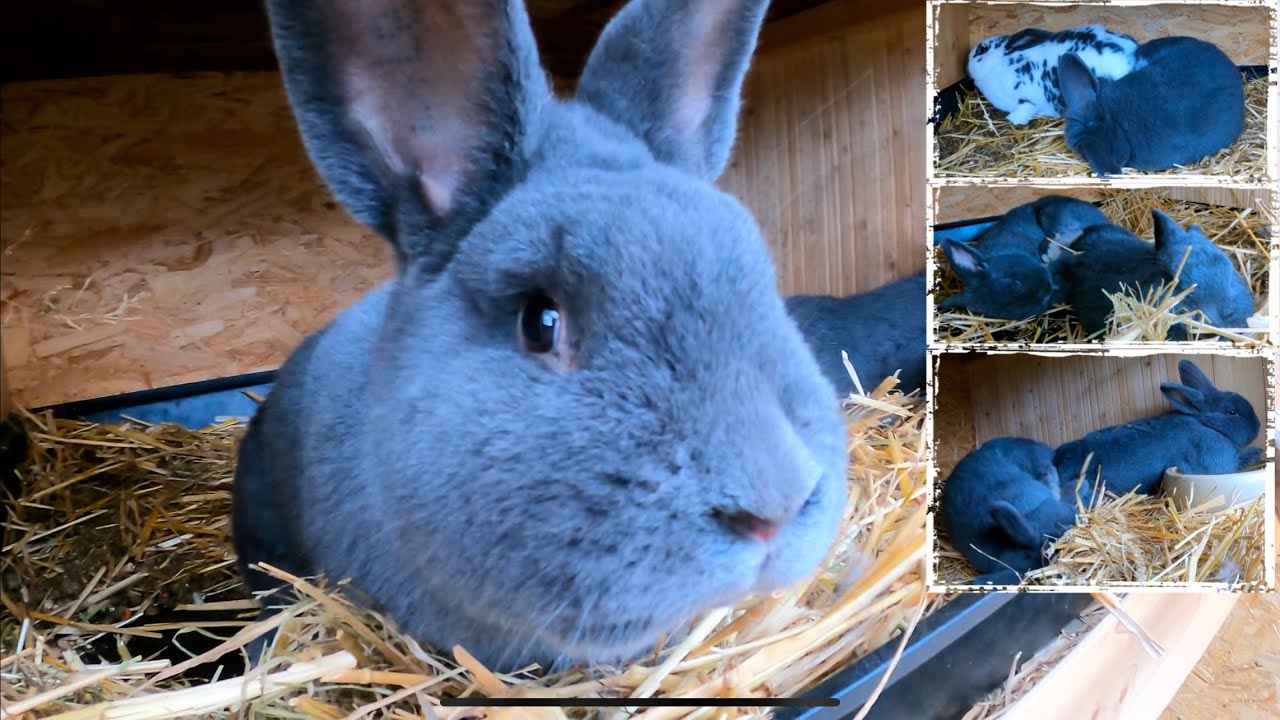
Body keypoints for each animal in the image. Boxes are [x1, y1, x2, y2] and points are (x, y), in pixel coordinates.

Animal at [939, 195, 1111, 319]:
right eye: (1020, 312)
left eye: (1015, 281)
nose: (1049, 288)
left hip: (1050, 213)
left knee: (1073, 231)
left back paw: (1049, 252)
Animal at [968, 25, 1138, 125]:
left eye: (982, 49)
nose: (967, 61)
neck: (997, 64)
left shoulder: (1026, 101)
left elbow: (1024, 111)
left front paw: (1012, 120)